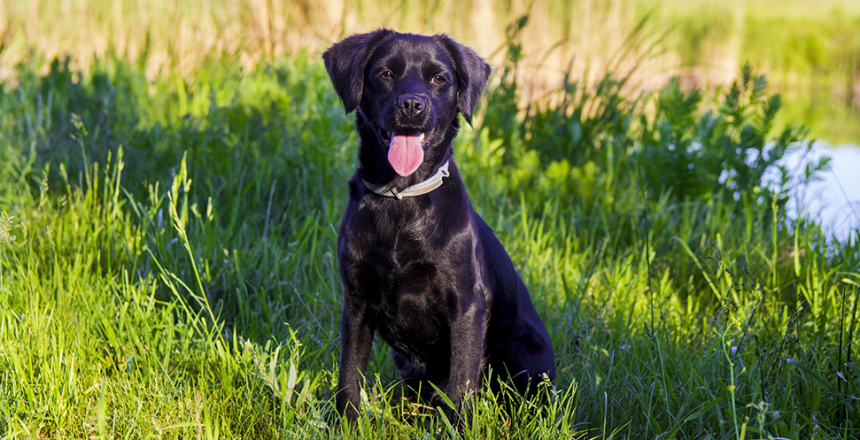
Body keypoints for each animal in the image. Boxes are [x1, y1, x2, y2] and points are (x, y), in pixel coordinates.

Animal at [322, 30, 556, 422]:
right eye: (385, 74)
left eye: (439, 79)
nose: (411, 105)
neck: (401, 200)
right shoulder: (355, 301)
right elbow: (348, 376)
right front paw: (347, 424)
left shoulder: (467, 306)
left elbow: (460, 383)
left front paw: (459, 426)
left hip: (521, 356)